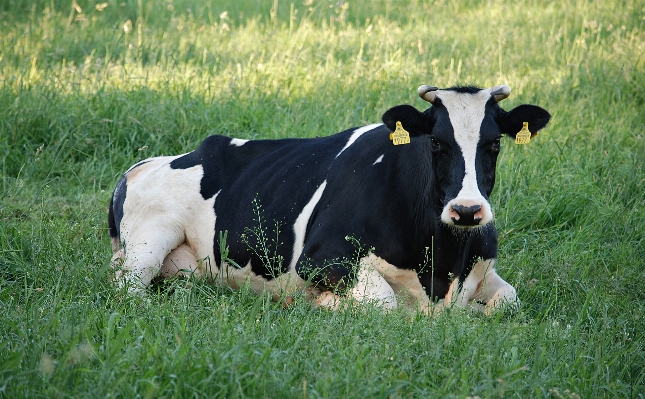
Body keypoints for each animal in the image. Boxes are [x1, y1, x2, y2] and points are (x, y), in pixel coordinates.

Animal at [108, 85, 552, 316]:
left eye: (495, 144)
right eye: (437, 143)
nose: (466, 211)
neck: (442, 266)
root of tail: (143, 165)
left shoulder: (484, 267)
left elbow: (508, 300)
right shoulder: (322, 259)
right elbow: (384, 303)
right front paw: (325, 305)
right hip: (152, 236)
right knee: (127, 286)